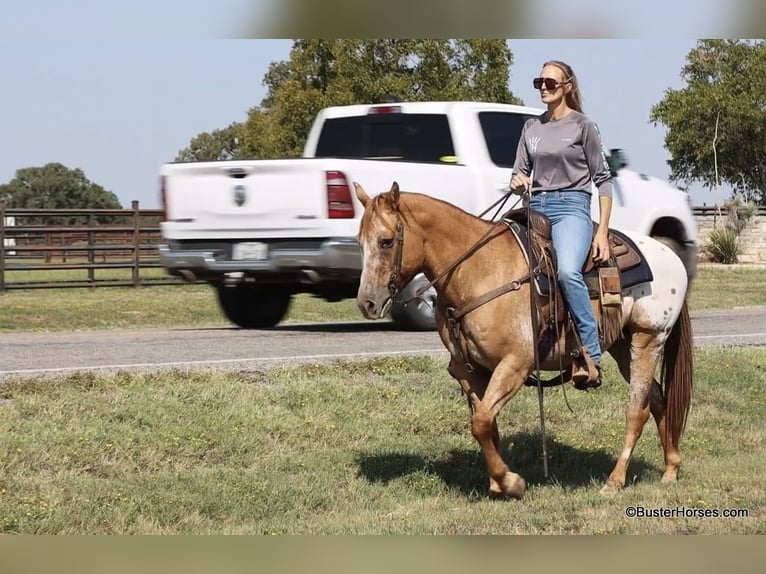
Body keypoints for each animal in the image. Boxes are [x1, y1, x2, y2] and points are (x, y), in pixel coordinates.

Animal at [354, 181, 696, 500]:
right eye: (359, 242)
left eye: (386, 242)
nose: (367, 303)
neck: (479, 271)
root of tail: (670, 256)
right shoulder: (469, 370)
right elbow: (486, 423)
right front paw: (498, 481)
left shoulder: (516, 364)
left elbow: (481, 421)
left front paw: (511, 482)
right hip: (624, 345)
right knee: (657, 398)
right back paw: (670, 468)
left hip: (648, 338)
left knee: (637, 409)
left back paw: (614, 481)